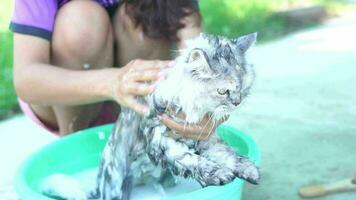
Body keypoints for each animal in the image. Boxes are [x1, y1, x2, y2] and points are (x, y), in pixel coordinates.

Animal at [41, 32, 260, 199]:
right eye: (223, 91)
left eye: (244, 88)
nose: (237, 102)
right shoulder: (160, 140)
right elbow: (191, 160)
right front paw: (219, 174)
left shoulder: (204, 138)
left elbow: (228, 155)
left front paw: (249, 169)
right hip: (116, 186)